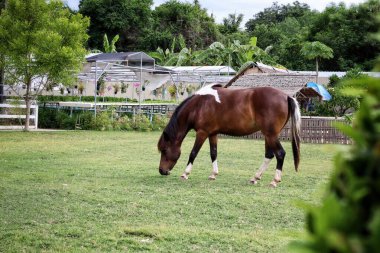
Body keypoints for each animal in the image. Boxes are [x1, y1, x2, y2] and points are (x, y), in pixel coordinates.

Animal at [157, 84, 300, 187]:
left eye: (164, 150)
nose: (162, 171)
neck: (199, 105)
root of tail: (286, 96)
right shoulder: (212, 134)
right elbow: (213, 153)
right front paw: (213, 174)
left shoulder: (202, 133)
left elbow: (193, 153)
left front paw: (185, 173)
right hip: (269, 136)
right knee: (269, 155)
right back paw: (255, 177)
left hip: (271, 135)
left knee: (280, 154)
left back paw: (275, 180)